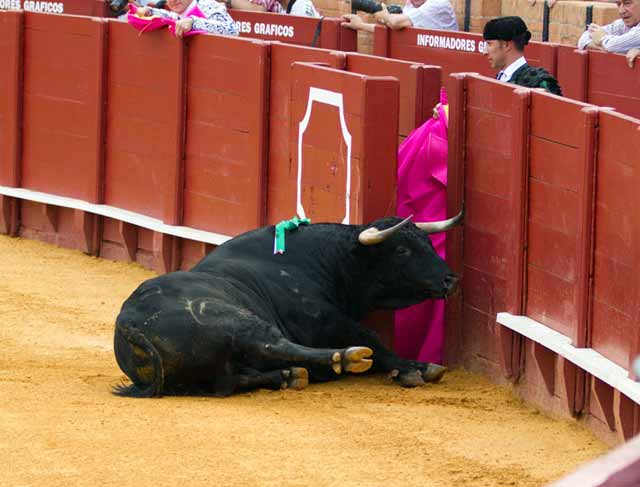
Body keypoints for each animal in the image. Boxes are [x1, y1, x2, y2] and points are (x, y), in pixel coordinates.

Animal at [111, 212, 460, 398]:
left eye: (428, 243)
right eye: (402, 250)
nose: (449, 279)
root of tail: (129, 323)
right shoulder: (324, 319)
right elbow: (371, 338)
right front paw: (414, 368)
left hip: (210, 371)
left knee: (231, 380)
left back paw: (289, 375)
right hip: (237, 320)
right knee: (272, 345)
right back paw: (343, 358)